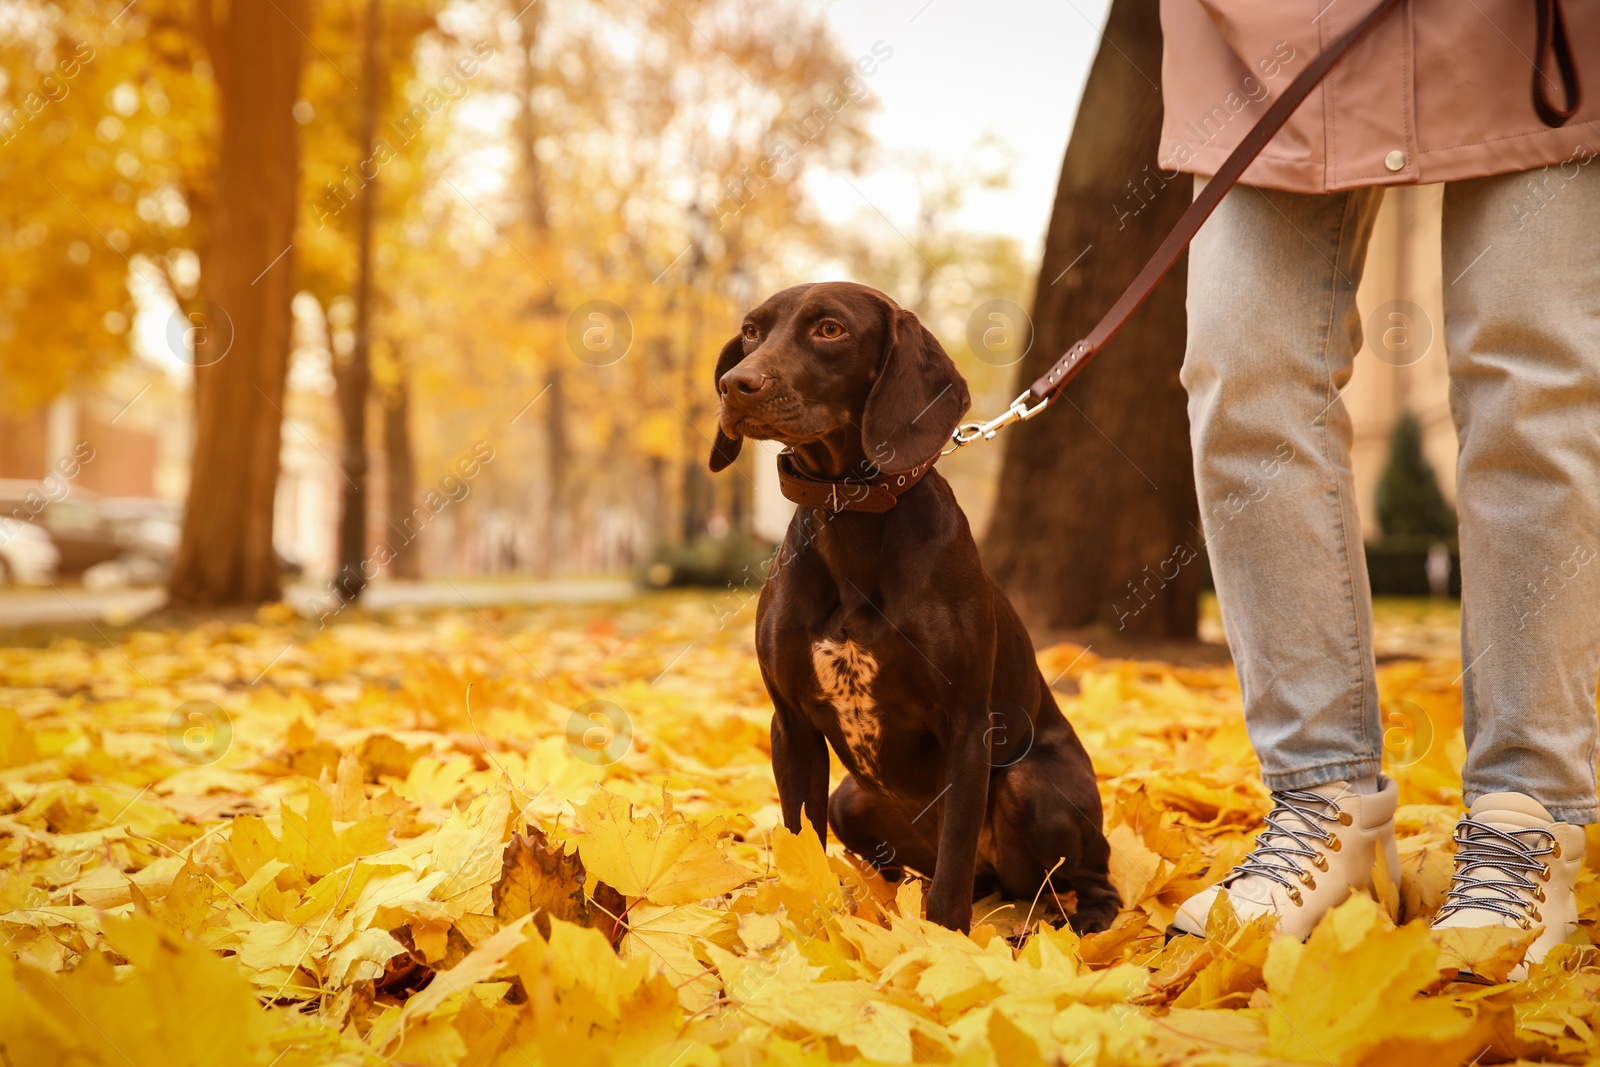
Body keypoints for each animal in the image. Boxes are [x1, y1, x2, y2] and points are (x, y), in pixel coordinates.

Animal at [707, 279, 1120, 927]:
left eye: (830, 329)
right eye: (750, 332)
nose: (734, 384)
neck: (850, 515)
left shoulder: (966, 727)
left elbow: (949, 880)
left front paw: (943, 942)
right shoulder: (792, 725)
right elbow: (803, 844)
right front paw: (810, 926)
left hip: (1034, 785)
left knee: (1083, 877)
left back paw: (1084, 926)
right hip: (852, 801)